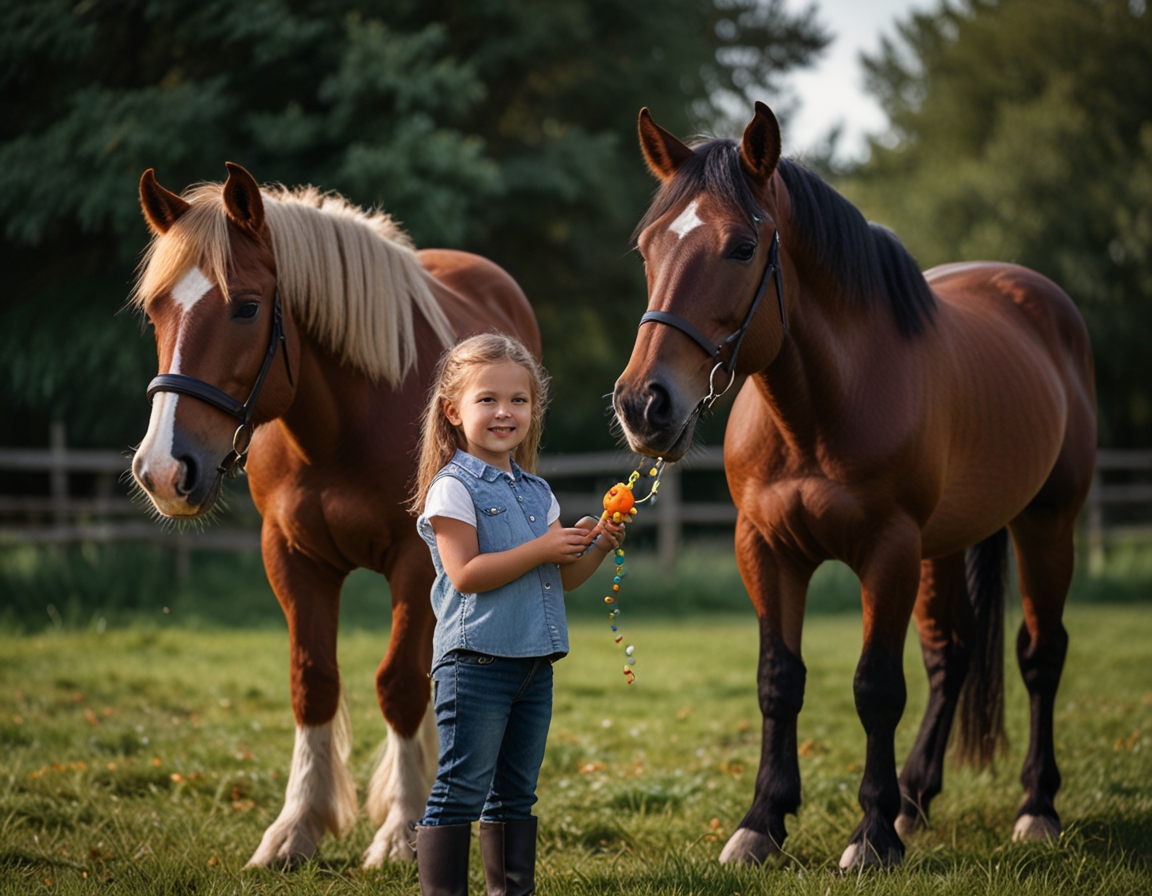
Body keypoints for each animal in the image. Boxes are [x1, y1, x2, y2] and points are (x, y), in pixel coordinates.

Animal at [129, 163, 540, 867]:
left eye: (246, 306)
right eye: (156, 309)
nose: (163, 470)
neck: (345, 422)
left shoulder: (415, 561)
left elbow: (400, 684)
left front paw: (402, 831)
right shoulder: (293, 557)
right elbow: (312, 680)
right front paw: (296, 828)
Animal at [614, 103, 1096, 868]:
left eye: (742, 248)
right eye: (647, 249)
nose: (643, 405)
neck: (818, 413)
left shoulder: (888, 552)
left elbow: (876, 688)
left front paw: (871, 835)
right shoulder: (766, 550)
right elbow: (779, 681)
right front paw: (763, 822)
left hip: (1047, 524)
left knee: (1040, 655)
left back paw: (1035, 808)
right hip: (944, 547)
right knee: (950, 655)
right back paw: (915, 798)